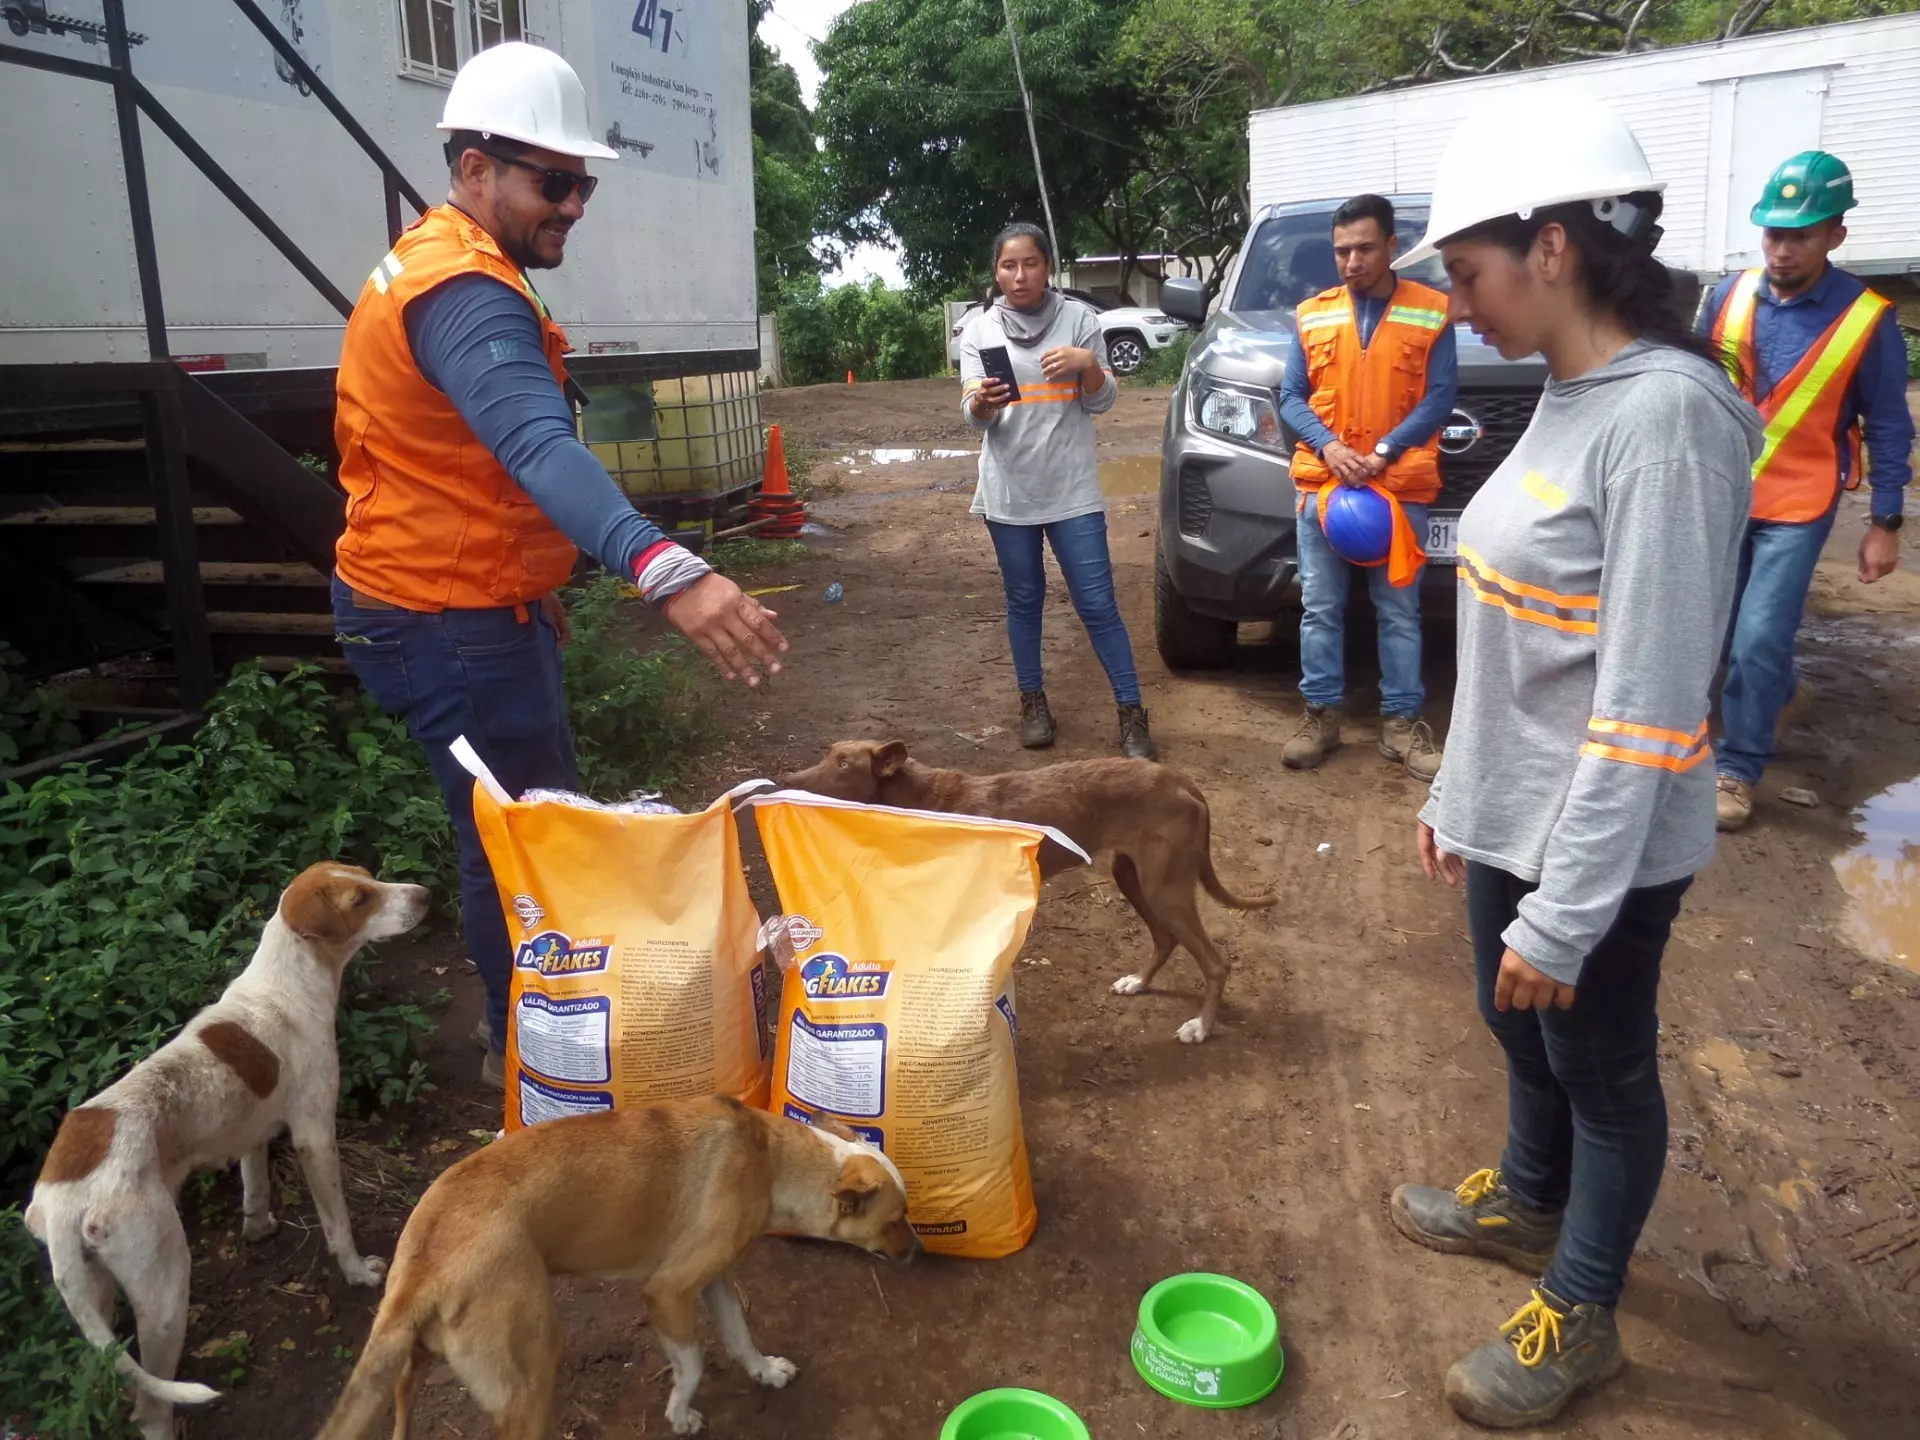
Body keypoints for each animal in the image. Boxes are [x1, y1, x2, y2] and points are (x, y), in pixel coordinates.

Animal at [23, 864, 428, 1436]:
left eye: (369, 878)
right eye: (360, 899)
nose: (427, 895)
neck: (287, 981)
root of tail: (63, 1203)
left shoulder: (252, 1134)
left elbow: (254, 1190)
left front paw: (258, 1230)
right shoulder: (314, 1135)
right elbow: (337, 1224)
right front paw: (356, 1271)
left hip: (94, 1289)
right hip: (166, 1288)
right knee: (149, 1406)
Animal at [318, 1098, 917, 1436]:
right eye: (895, 1220)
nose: (917, 1254)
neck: (769, 1159)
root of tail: (427, 1262)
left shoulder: (716, 1280)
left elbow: (741, 1338)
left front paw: (766, 1373)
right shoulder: (668, 1292)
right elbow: (693, 1365)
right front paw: (680, 1417)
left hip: (410, 1374)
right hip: (530, 1378)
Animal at [779, 744, 1274, 1036]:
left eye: (844, 765)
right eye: (827, 755)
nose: (788, 780)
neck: (919, 800)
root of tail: (1180, 778)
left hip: (1164, 887)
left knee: (1217, 964)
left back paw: (1201, 1027)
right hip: (1133, 878)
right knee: (1165, 939)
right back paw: (1138, 982)